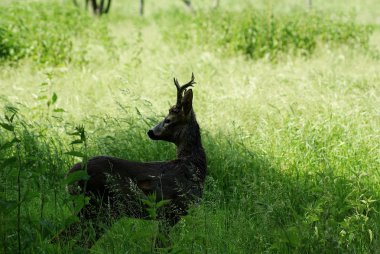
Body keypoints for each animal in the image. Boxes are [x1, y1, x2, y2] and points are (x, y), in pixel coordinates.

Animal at [55, 73, 206, 248]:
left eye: (168, 120)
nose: (150, 131)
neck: (191, 166)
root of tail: (69, 176)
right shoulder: (169, 210)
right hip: (96, 206)